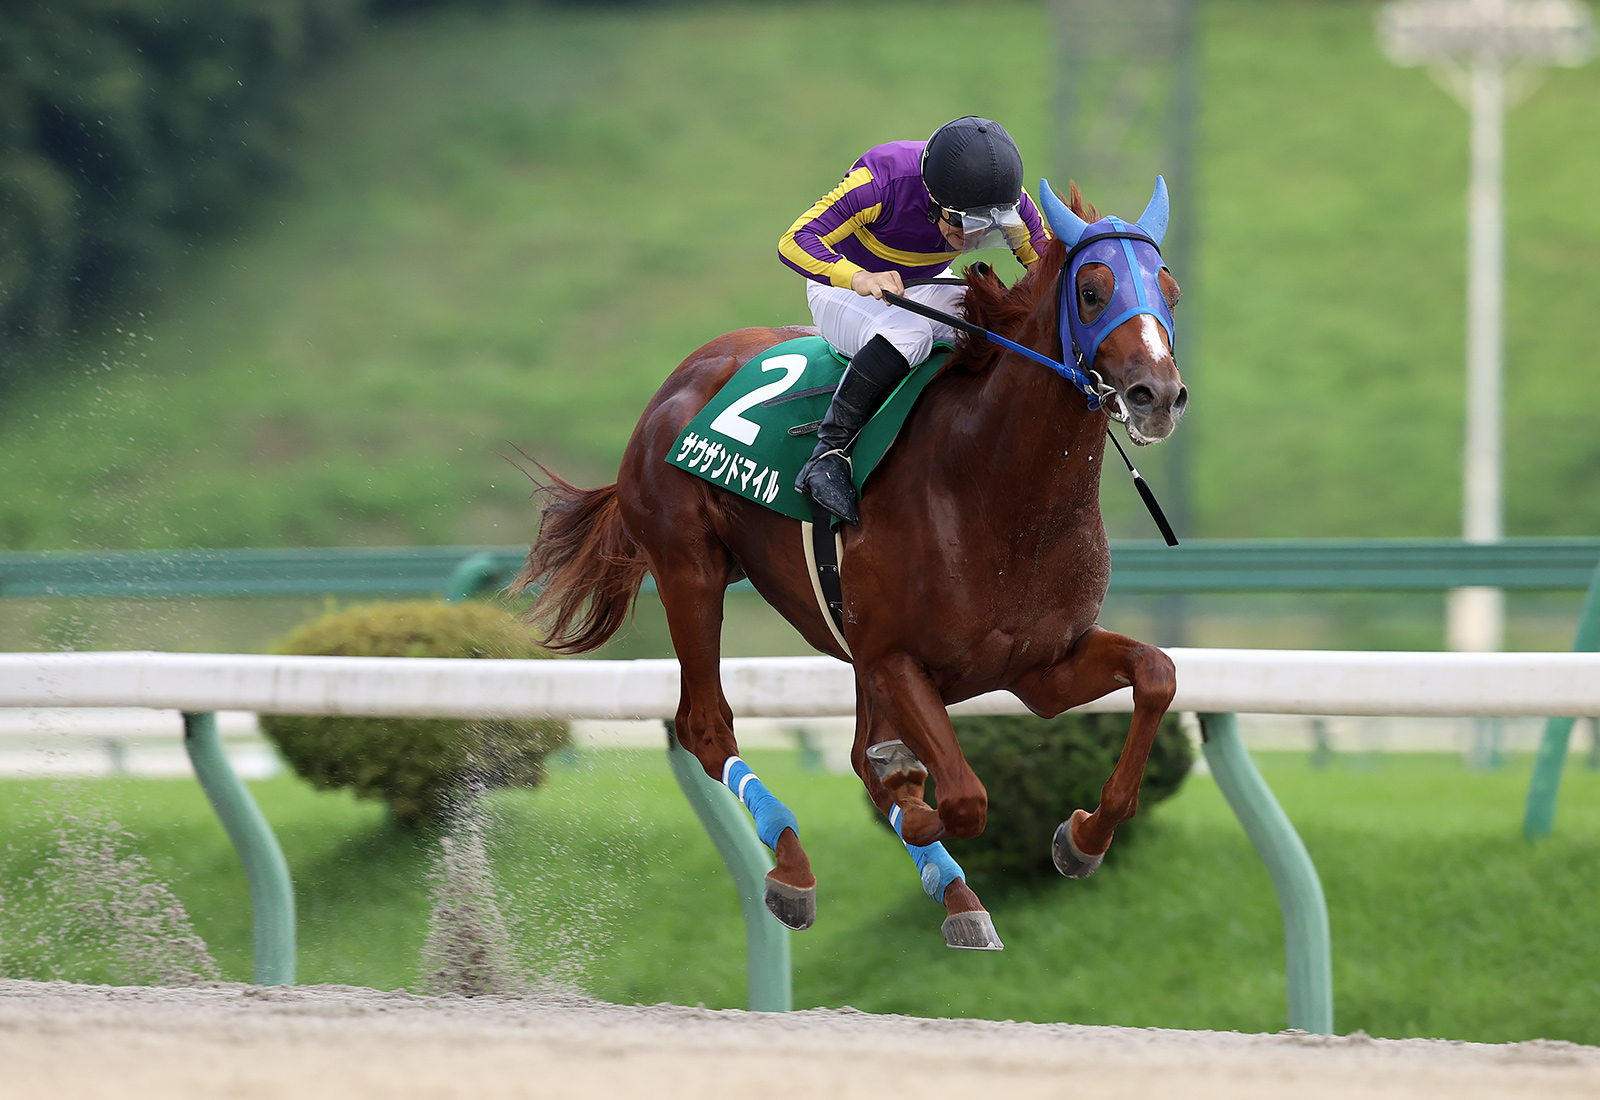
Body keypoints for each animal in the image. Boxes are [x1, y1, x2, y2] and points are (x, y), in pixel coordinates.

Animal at [518, 175, 1184, 946]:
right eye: (1092, 289)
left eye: (1171, 291)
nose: (1158, 395)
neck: (997, 490)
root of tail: (683, 375)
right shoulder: (894, 657)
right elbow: (961, 797)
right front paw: (919, 806)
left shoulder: (1039, 669)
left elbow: (1157, 674)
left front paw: (1083, 837)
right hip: (690, 569)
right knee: (706, 726)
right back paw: (794, 866)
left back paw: (955, 893)